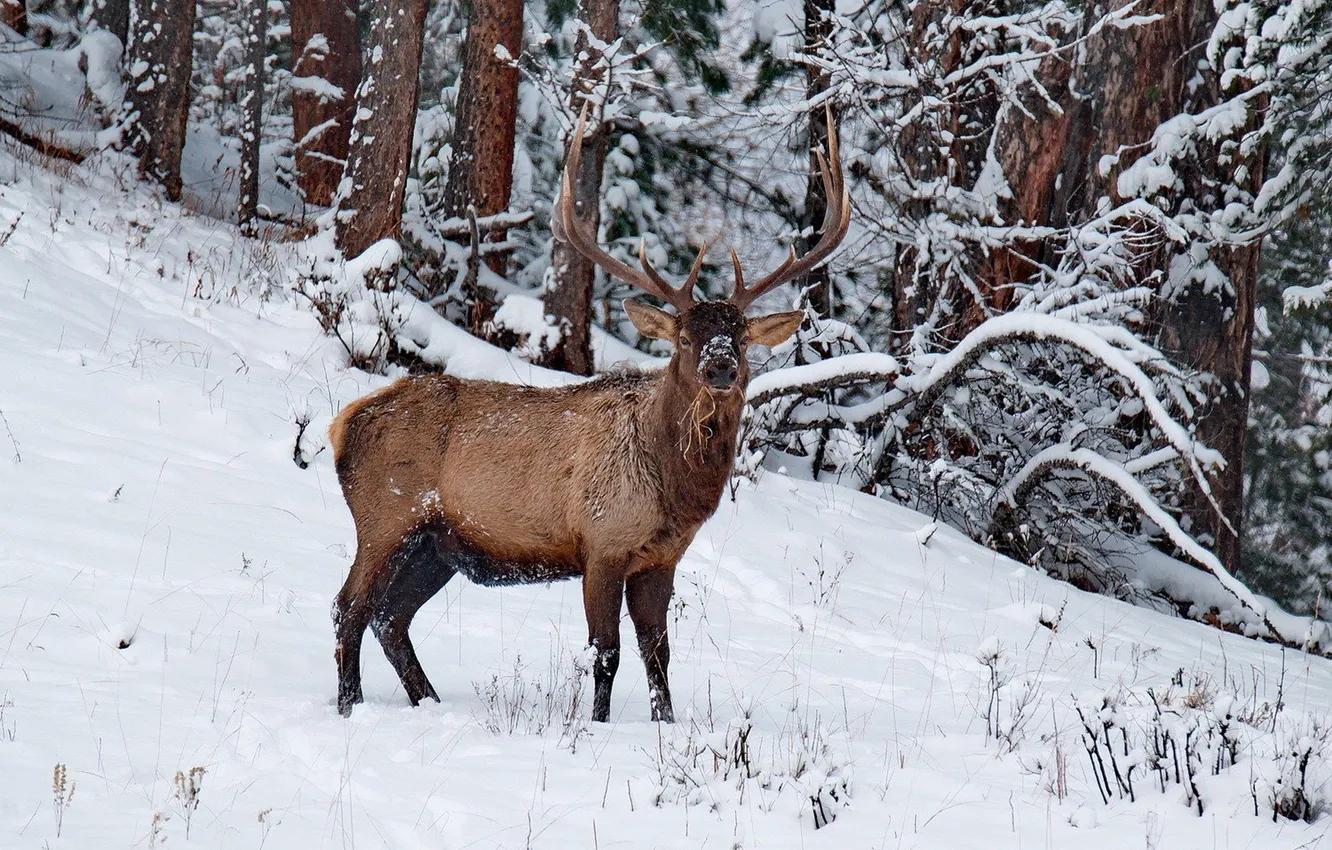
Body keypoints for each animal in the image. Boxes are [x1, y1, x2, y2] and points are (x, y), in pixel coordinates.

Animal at [333, 103, 852, 724]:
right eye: (684, 338)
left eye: (743, 339)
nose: (720, 367)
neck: (673, 490)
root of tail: (343, 425)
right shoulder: (602, 543)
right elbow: (605, 652)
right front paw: (597, 723)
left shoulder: (661, 560)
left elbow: (658, 651)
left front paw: (665, 722)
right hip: (384, 516)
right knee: (350, 607)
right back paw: (350, 705)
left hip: (436, 544)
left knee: (391, 618)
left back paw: (427, 702)